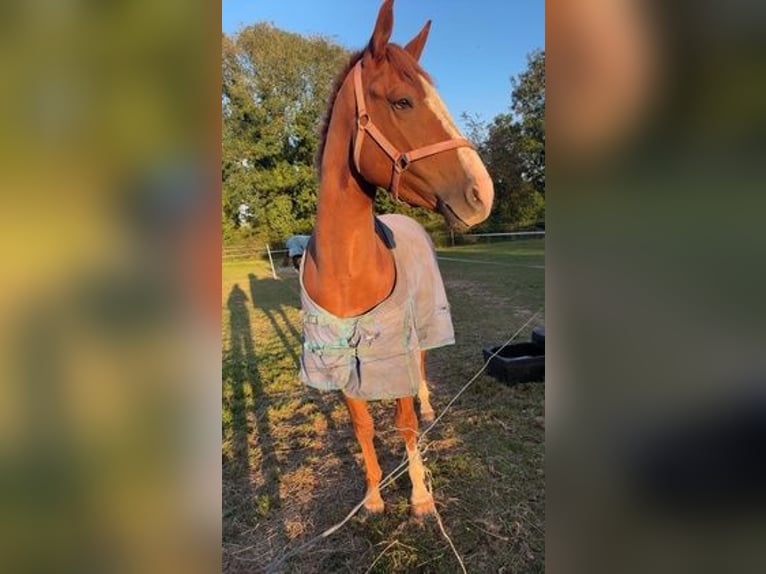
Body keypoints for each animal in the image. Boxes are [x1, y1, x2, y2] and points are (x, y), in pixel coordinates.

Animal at [304, 0, 496, 516]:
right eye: (402, 101)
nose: (482, 193)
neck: (347, 273)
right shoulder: (341, 364)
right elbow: (364, 426)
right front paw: (373, 497)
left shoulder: (398, 348)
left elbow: (405, 422)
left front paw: (421, 498)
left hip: (423, 327)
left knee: (424, 372)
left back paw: (429, 407)